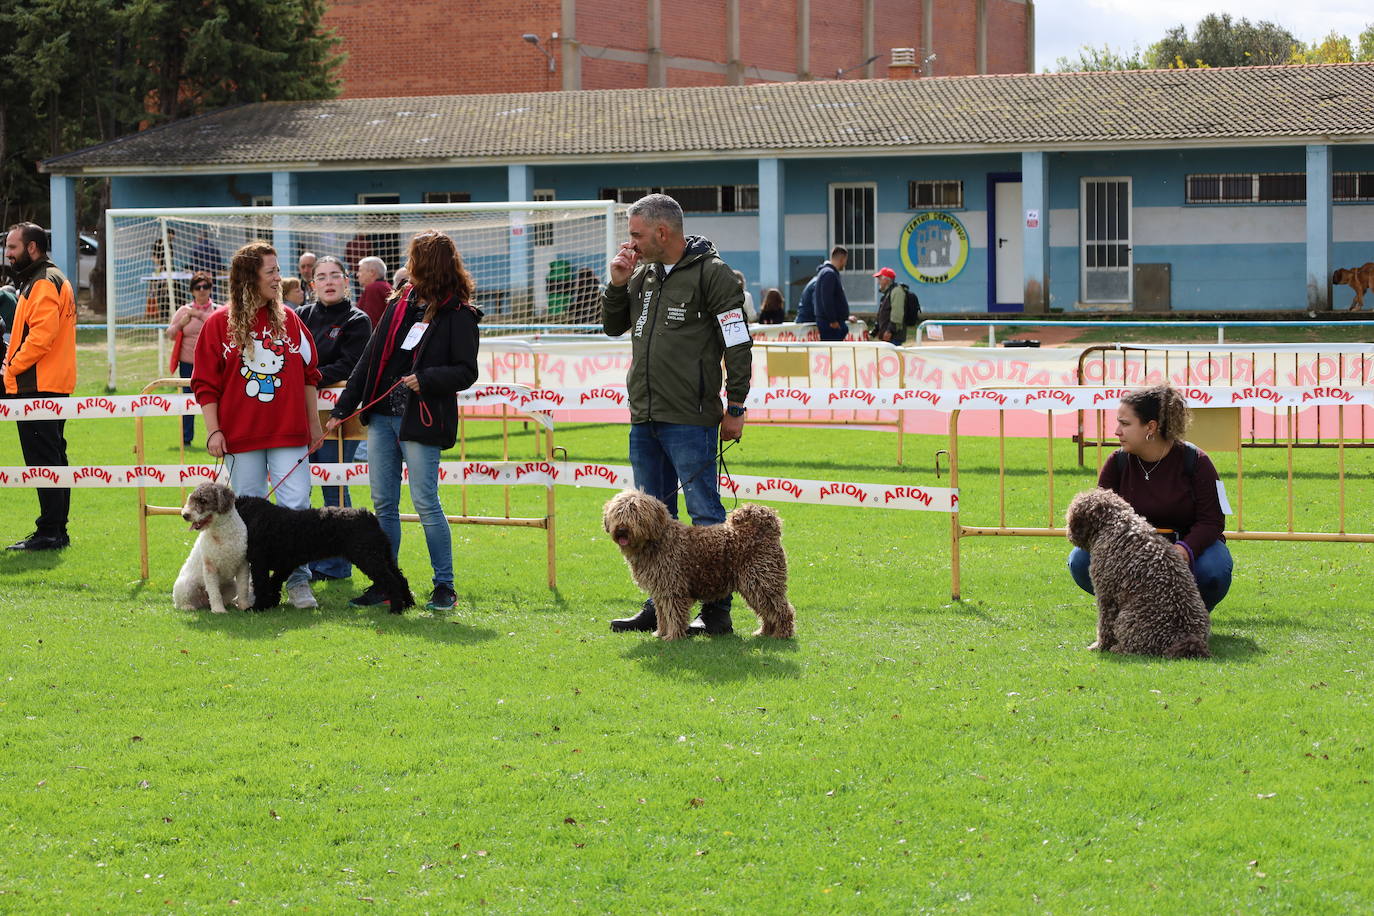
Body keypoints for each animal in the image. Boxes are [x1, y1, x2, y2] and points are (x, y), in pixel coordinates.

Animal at [171, 480, 252, 615]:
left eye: (203, 500)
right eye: (191, 498)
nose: (185, 515)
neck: (222, 534)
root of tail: (203, 602)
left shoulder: (243, 565)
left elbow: (243, 588)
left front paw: (244, 606)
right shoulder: (210, 567)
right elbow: (214, 592)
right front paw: (218, 610)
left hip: (231, 586)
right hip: (186, 585)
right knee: (181, 603)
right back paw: (188, 607)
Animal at [233, 497, 412, 612]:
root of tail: (368, 517)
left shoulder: (260, 563)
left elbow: (262, 584)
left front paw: (259, 607)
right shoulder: (286, 564)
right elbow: (273, 583)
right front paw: (271, 602)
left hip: (369, 559)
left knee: (392, 581)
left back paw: (396, 608)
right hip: (383, 557)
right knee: (401, 578)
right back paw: (409, 603)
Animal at [601, 491, 796, 642]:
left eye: (635, 513)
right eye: (617, 513)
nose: (622, 530)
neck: (659, 540)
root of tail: (768, 527)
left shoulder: (673, 589)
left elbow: (674, 615)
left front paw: (672, 637)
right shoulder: (660, 592)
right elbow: (662, 616)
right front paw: (660, 633)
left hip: (761, 582)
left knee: (782, 610)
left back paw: (782, 634)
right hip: (754, 587)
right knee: (768, 612)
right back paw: (764, 632)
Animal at [1066, 486, 1209, 659]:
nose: (1069, 534)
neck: (1113, 522)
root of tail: (1185, 638)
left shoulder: (1107, 595)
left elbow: (1104, 626)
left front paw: (1099, 646)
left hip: (1127, 620)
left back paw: (1118, 649)